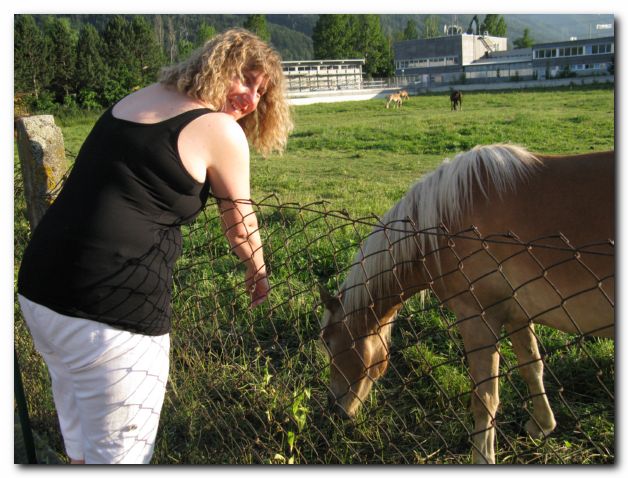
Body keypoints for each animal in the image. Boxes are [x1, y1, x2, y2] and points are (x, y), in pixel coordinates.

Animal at [322, 145, 616, 464]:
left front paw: (483, 457)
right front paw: (541, 425)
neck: (444, 225)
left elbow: (484, 397)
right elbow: (532, 368)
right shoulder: (517, 315)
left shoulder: (478, 318)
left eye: (328, 342)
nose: (334, 410)